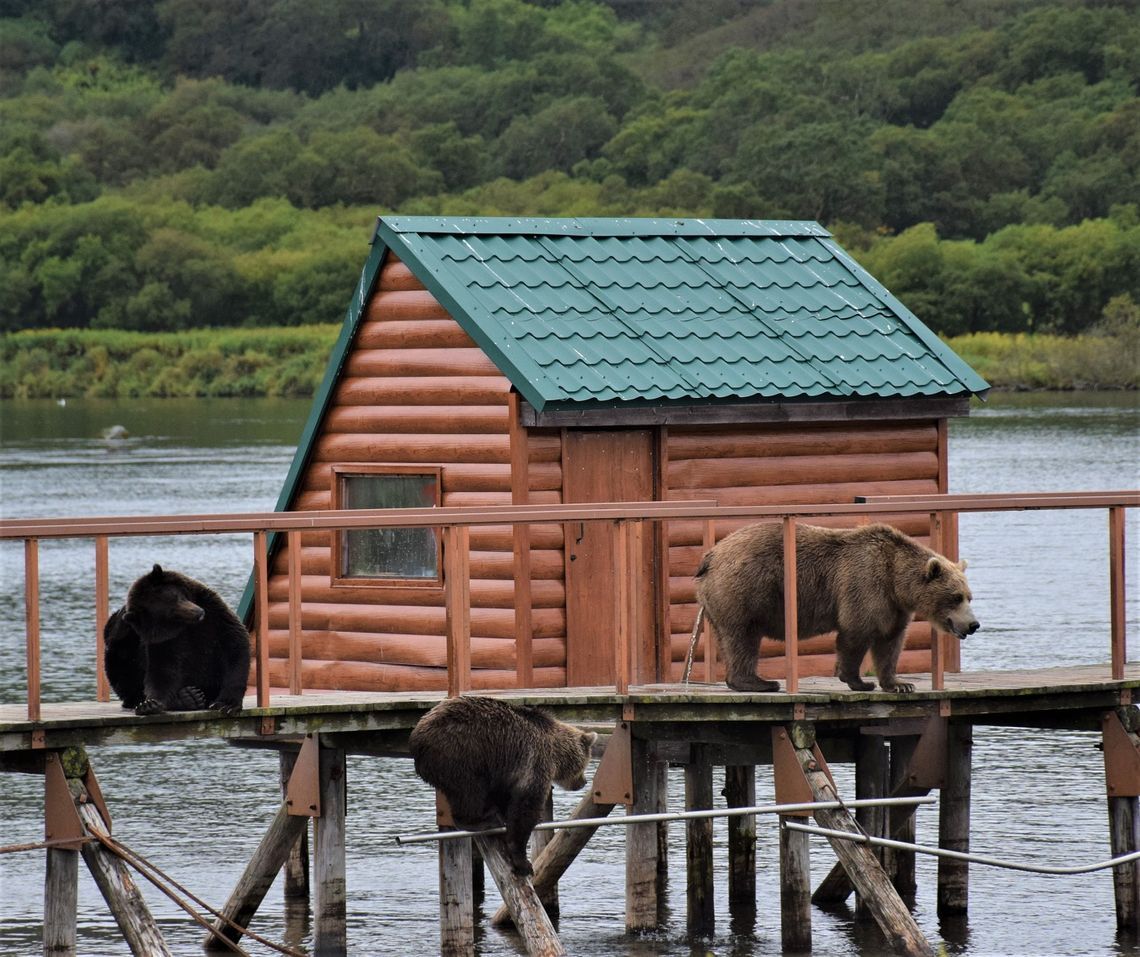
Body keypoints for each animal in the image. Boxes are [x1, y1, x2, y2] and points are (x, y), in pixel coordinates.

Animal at [104, 565, 251, 716]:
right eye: (170, 614)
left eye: (177, 597)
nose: (199, 612)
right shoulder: (164, 640)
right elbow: (163, 670)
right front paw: (150, 704)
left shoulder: (213, 611)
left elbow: (234, 643)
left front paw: (226, 704)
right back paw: (188, 697)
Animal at [410, 698, 601, 876]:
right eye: (585, 763)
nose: (583, 782)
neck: (555, 753)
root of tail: (416, 739)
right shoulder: (535, 763)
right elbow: (525, 810)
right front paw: (523, 863)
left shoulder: (506, 771)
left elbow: (505, 798)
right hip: (461, 753)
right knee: (469, 792)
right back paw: (483, 820)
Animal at [693, 520, 980, 693]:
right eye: (955, 596)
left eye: (969, 596)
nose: (973, 624)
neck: (896, 580)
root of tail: (711, 555)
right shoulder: (865, 584)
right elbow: (856, 633)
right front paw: (859, 681)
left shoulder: (894, 607)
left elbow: (890, 643)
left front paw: (899, 683)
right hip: (745, 589)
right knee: (743, 637)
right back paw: (760, 682)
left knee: (730, 638)